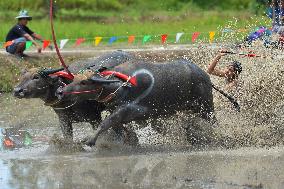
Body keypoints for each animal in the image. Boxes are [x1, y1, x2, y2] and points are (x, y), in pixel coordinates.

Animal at [57, 59, 217, 146]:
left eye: (84, 82)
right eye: (73, 79)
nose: (61, 91)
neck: (121, 84)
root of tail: (205, 75)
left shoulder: (136, 110)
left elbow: (107, 122)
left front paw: (90, 140)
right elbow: (116, 127)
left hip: (205, 106)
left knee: (213, 121)